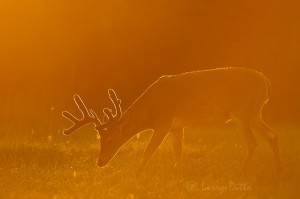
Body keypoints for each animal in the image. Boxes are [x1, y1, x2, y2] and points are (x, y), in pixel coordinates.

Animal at [62, 67, 282, 175]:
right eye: (99, 139)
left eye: (109, 139)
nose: (100, 162)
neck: (151, 110)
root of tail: (267, 82)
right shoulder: (178, 126)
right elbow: (178, 152)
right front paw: (178, 175)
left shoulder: (164, 123)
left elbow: (148, 151)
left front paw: (136, 175)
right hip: (254, 114)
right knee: (273, 135)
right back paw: (277, 172)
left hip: (243, 113)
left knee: (253, 142)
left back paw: (242, 172)